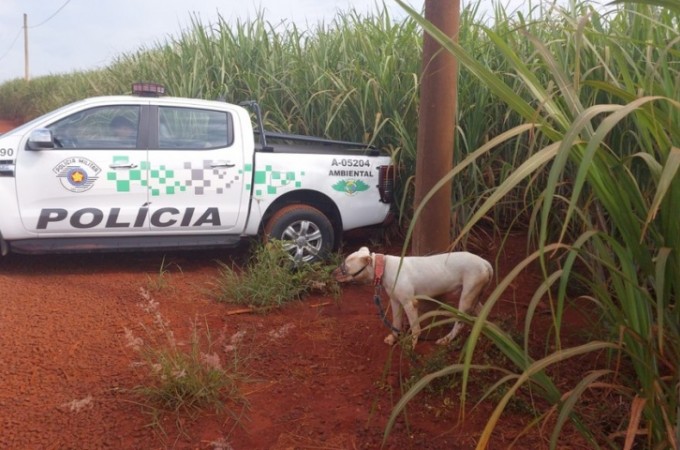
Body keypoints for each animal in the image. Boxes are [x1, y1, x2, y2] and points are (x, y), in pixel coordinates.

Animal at [334, 246, 494, 348]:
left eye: (345, 267)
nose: (333, 273)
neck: (383, 267)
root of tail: (485, 262)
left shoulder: (409, 303)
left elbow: (415, 327)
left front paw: (412, 344)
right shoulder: (395, 301)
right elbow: (396, 322)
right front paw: (393, 338)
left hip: (466, 297)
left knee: (460, 323)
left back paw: (446, 339)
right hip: (473, 296)